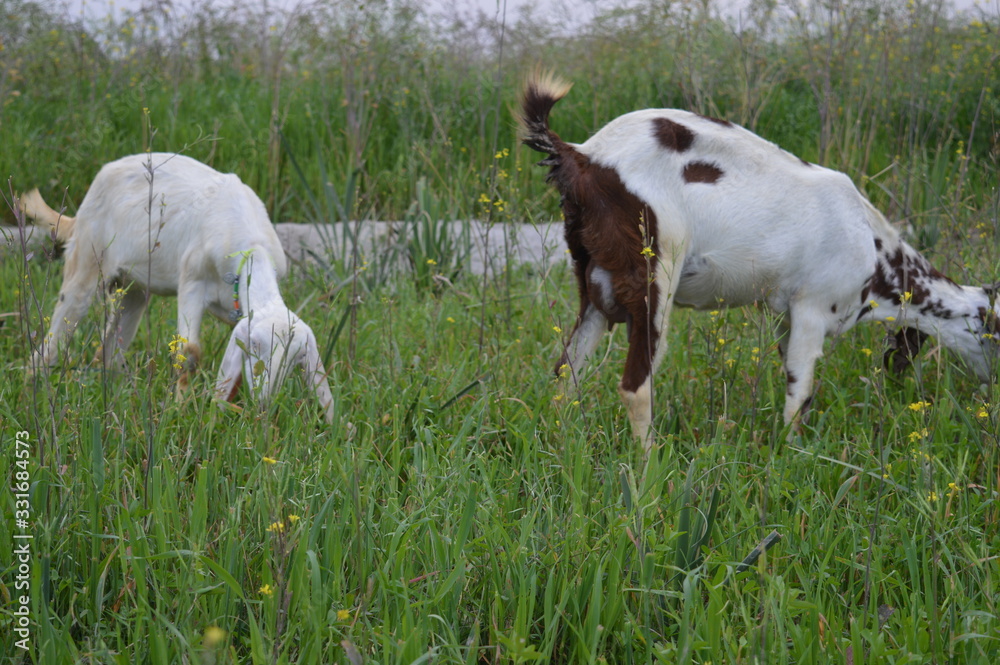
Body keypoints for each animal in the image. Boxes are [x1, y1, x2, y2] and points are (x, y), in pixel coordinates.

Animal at [19, 152, 335, 422]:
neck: (251, 248)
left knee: (108, 351)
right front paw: (179, 412)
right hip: (87, 257)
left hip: (134, 289)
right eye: (255, 344)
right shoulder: (192, 282)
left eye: (297, 358)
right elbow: (189, 353)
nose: (263, 400)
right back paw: (31, 390)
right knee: (58, 334)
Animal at [519, 72, 999, 450]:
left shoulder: (787, 317)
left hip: (595, 284)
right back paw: (648, 469)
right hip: (654, 271)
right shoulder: (811, 310)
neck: (874, 248)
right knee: (636, 386)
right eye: (993, 331)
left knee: (565, 375)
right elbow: (799, 393)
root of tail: (581, 156)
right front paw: (789, 456)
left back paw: (559, 444)